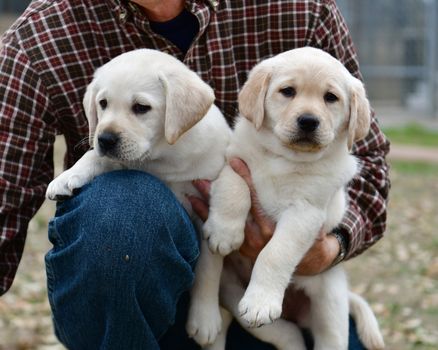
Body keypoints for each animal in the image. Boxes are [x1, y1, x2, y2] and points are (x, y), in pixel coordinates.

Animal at [188, 47, 384, 350]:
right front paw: (224, 232)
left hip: (329, 303)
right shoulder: (235, 163)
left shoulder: (305, 212)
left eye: (331, 97)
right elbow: (234, 189)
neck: (283, 158)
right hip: (234, 297)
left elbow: (275, 252)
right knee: (287, 334)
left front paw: (261, 302)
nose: (308, 121)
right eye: (288, 91)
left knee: (325, 337)